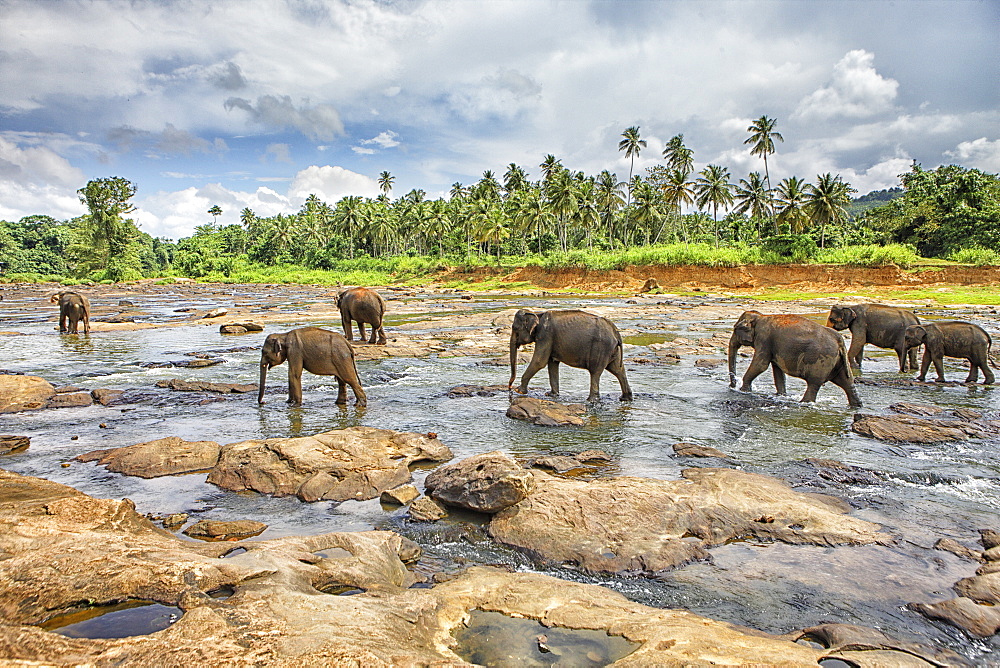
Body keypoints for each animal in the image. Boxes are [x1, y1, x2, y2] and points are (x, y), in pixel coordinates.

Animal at [728, 310, 860, 408]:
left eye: (735, 329)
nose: (732, 385)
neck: (760, 316)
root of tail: (839, 340)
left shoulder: (764, 338)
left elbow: (761, 365)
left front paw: (743, 390)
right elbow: (777, 371)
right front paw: (781, 395)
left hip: (822, 360)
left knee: (814, 383)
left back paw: (804, 403)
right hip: (838, 361)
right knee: (847, 382)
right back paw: (856, 406)